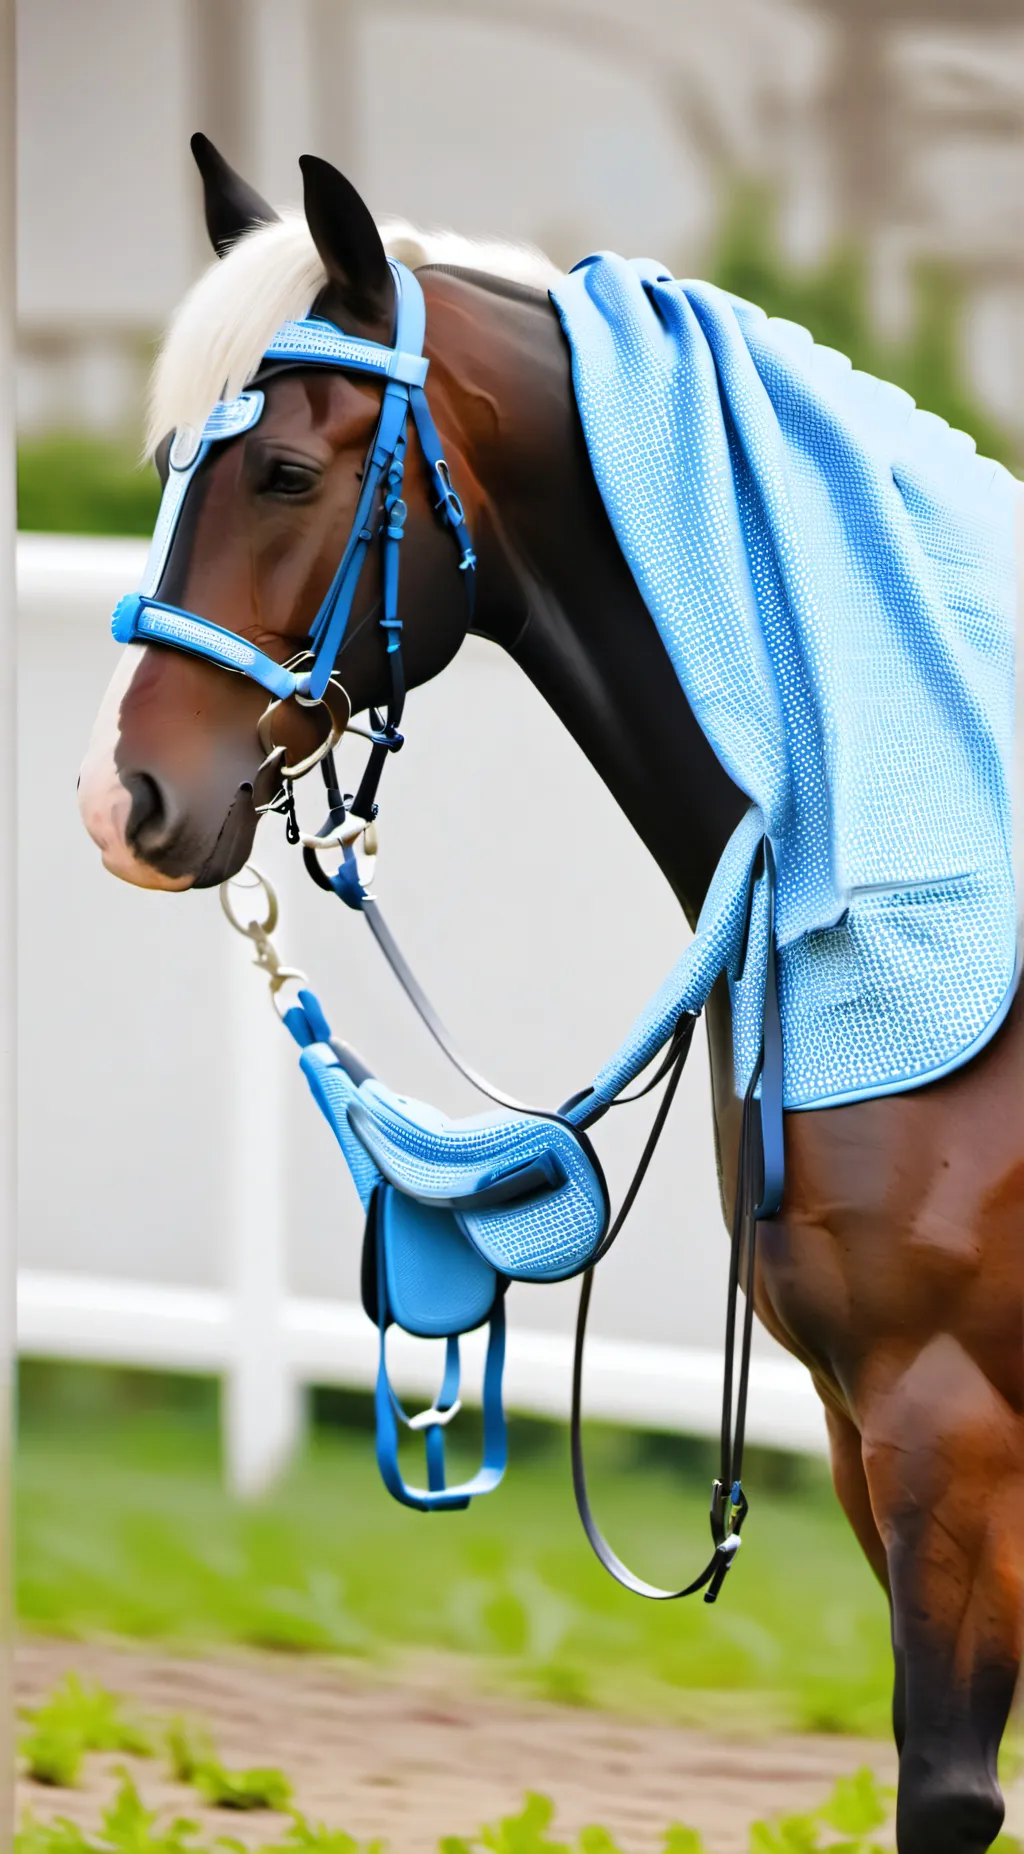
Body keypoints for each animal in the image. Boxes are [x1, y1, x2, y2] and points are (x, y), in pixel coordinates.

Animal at [78, 138, 1024, 1854]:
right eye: (178, 458)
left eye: (287, 475)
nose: (122, 802)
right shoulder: (869, 1426)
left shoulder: (952, 1425)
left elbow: (946, 1784)